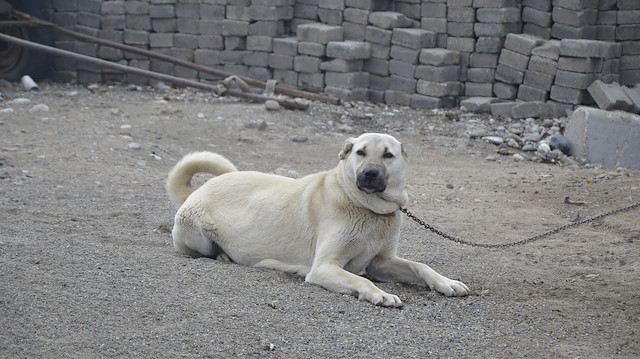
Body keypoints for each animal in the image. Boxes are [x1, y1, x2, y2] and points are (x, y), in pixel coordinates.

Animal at [168, 134, 468, 308]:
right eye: (360, 152)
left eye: (388, 155)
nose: (369, 174)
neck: (367, 208)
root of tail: (197, 191)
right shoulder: (324, 267)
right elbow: (359, 280)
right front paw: (378, 294)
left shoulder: (382, 263)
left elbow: (420, 266)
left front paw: (446, 283)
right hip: (196, 233)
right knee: (201, 251)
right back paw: (222, 256)